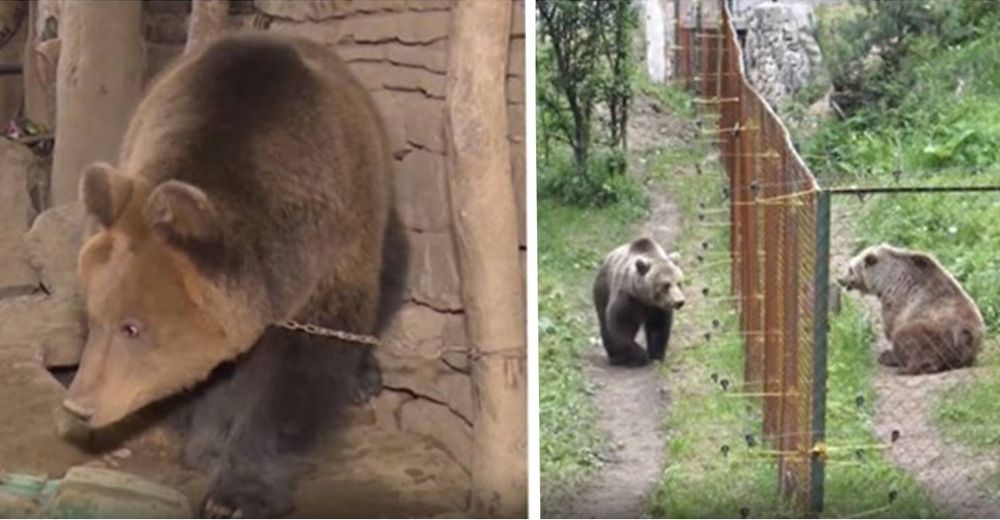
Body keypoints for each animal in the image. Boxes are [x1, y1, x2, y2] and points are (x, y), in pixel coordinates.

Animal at [58, 34, 408, 516]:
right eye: (93, 317)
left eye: (132, 327)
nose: (80, 405)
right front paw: (207, 444)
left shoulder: (332, 260)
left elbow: (297, 375)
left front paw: (239, 494)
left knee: (392, 272)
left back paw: (364, 377)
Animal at [836, 243, 984, 374]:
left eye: (850, 269)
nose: (840, 279)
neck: (885, 280)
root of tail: (966, 335)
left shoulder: (897, 300)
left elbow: (891, 327)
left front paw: (889, 354)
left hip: (936, 331)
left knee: (908, 339)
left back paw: (900, 365)